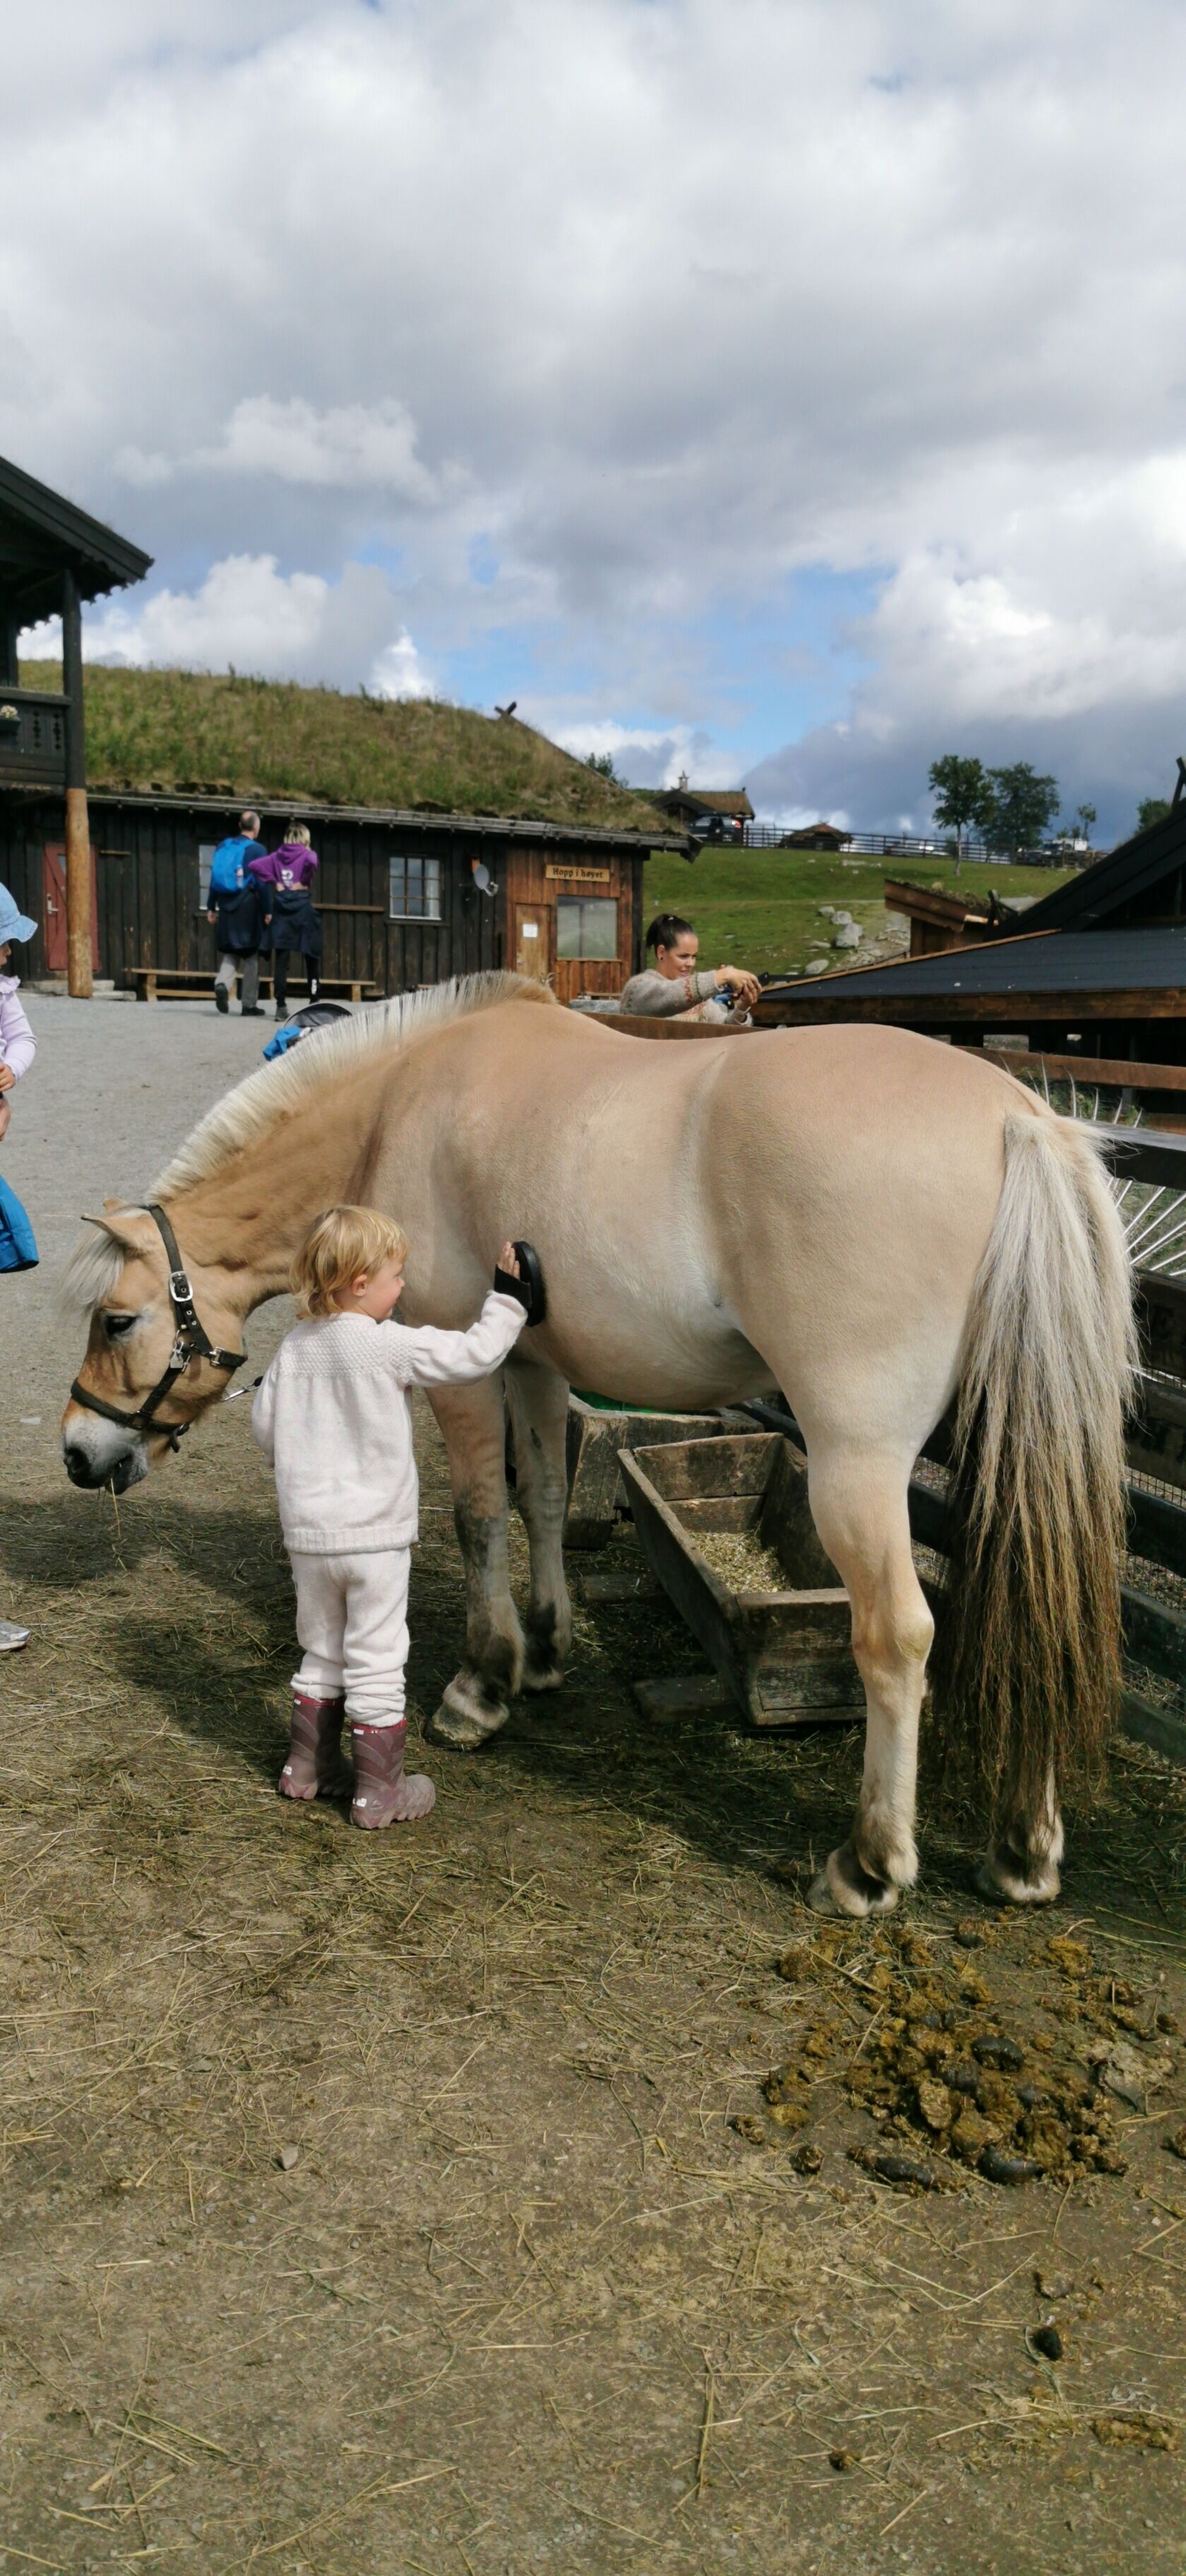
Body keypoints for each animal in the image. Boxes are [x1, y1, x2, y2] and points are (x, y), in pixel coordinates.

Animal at [61, 971, 1134, 1915]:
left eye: (117, 1321)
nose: (79, 1453)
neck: (401, 1103)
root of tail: (1018, 1118)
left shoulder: (459, 1364)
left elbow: (478, 1514)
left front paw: (480, 1686)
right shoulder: (535, 1364)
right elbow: (541, 1497)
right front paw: (544, 1649)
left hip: (857, 1464)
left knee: (900, 1637)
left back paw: (869, 1864)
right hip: (1006, 1454)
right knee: (1034, 1609)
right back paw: (1024, 1850)